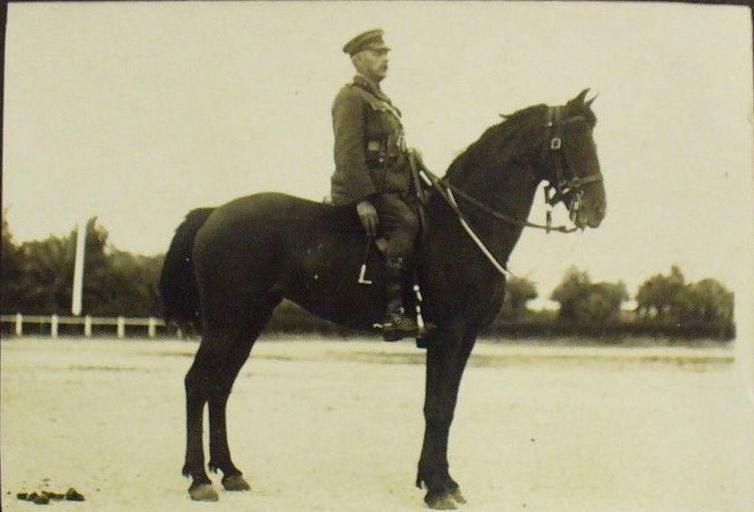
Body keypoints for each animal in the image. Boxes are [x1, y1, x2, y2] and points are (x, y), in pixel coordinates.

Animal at [159, 89, 606, 509]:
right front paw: (436, 487)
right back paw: (199, 479)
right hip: (226, 322)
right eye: (569, 140)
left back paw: (230, 472)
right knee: (197, 383)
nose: (597, 211)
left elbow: (446, 404)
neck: (463, 225)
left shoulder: (464, 338)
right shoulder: (448, 334)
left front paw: (444, 481)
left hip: (249, 321)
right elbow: (437, 407)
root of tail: (214, 213)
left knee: (220, 386)